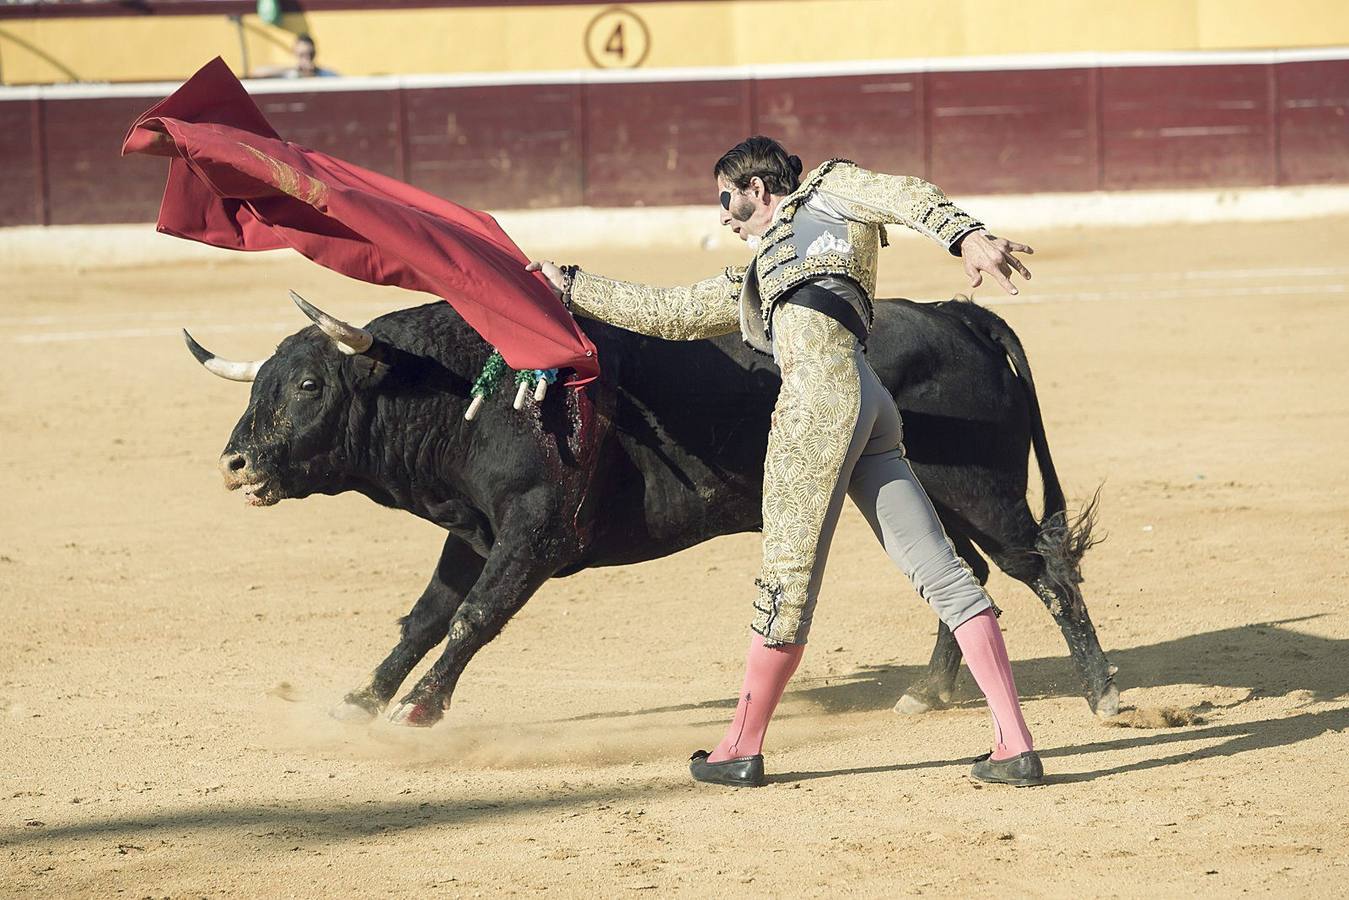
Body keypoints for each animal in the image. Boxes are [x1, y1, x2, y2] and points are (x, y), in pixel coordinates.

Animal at [190, 296, 1116, 734]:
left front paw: (420, 711)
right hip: (919, 494)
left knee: (1041, 568)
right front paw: (360, 701)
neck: (460, 391)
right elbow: (426, 617)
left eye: (310, 384)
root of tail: (957, 314)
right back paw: (925, 693)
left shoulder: (535, 532)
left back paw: (1103, 695)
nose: (235, 464)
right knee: (967, 576)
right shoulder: (474, 534)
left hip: (978, 487)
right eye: (264, 382)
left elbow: (473, 619)